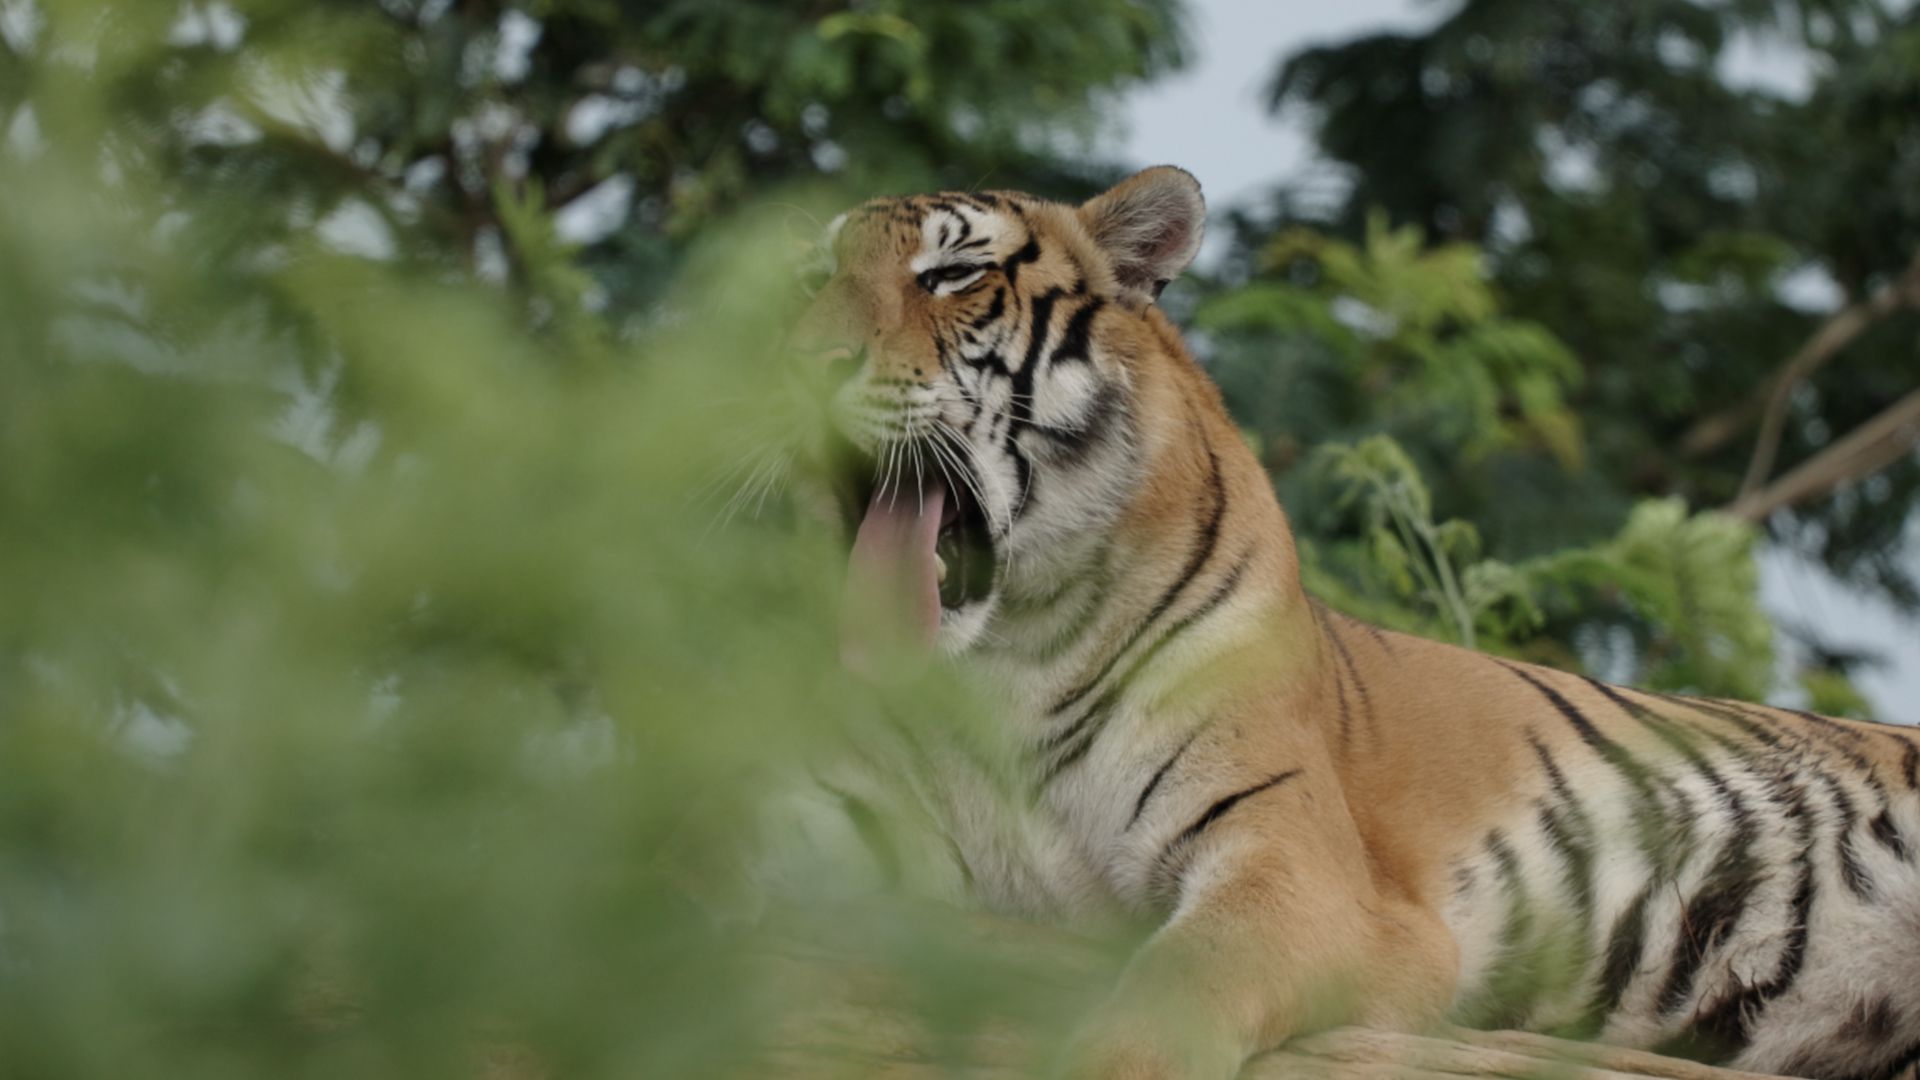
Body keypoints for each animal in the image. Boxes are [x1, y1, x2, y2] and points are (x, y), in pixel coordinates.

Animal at [779, 166, 1920, 1080]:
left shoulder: (1295, 866)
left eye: (950, 275)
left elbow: (1173, 987)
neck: (1002, 659)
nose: (788, 369)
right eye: (806, 284)